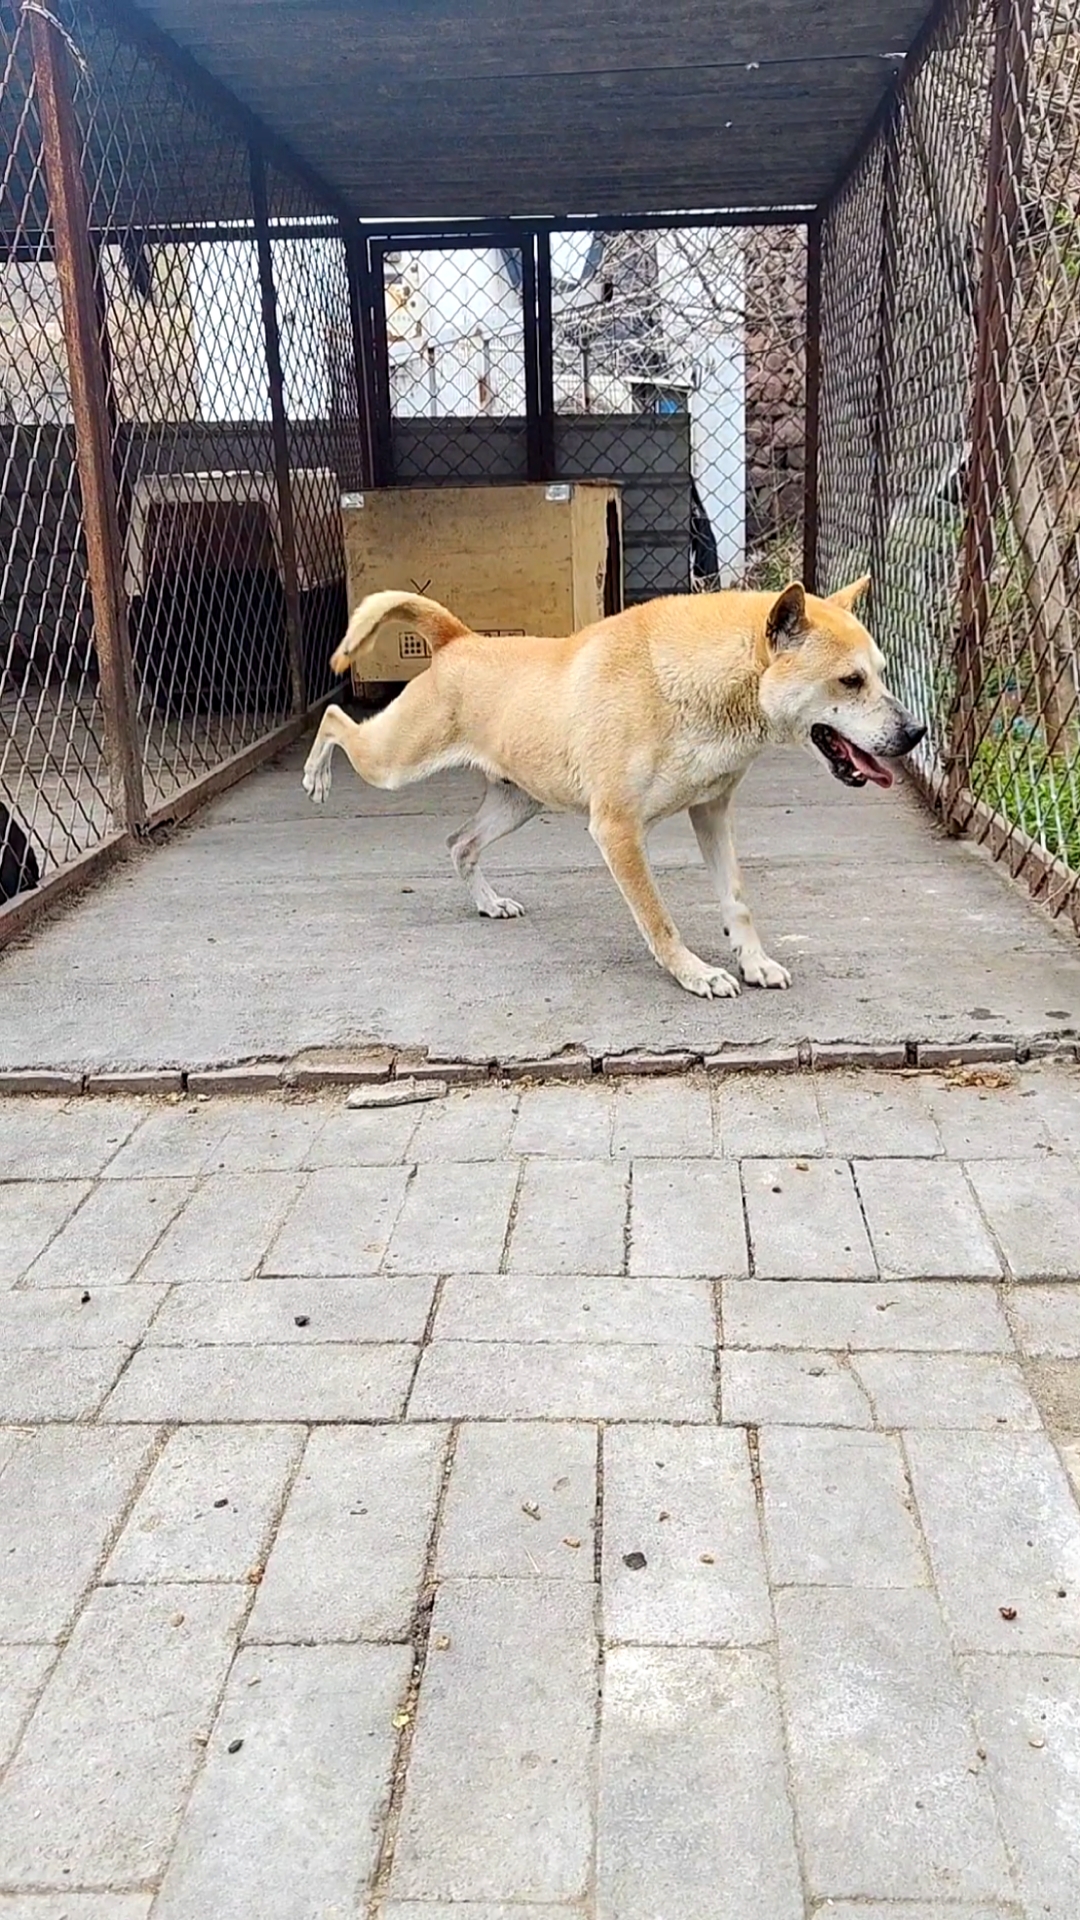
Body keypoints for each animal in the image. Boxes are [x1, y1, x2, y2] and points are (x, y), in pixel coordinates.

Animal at [305, 579, 926, 1006]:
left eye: (880, 672)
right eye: (850, 681)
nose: (916, 732)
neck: (696, 682)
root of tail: (458, 641)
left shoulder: (712, 812)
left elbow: (737, 900)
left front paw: (754, 962)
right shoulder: (618, 831)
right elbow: (659, 917)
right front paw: (695, 973)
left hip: (517, 801)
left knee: (460, 843)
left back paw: (488, 902)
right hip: (393, 762)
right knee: (337, 720)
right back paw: (316, 775)